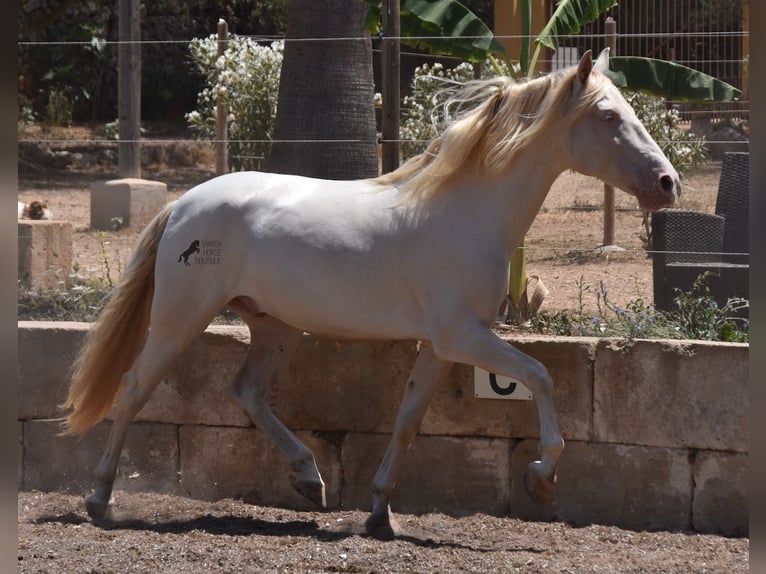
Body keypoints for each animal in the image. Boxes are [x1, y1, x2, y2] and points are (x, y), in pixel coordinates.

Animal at [63, 49, 680, 540]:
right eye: (608, 115)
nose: (668, 183)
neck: (467, 214)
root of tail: (183, 204)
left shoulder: (441, 346)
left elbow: (407, 420)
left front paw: (381, 513)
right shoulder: (465, 337)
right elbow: (540, 376)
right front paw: (541, 479)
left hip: (275, 326)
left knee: (246, 391)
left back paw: (309, 479)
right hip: (181, 318)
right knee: (134, 389)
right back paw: (99, 498)